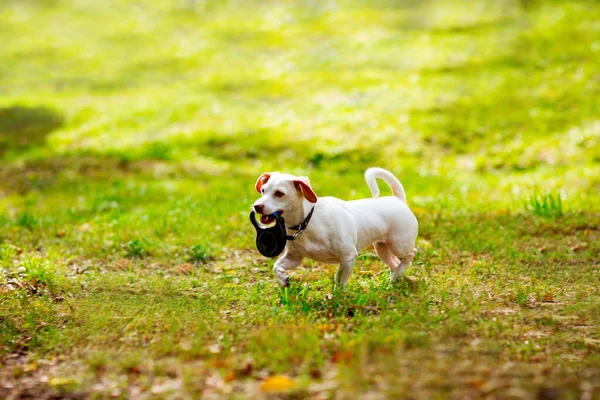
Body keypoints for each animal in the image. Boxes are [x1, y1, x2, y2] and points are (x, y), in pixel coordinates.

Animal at [252, 167, 418, 286]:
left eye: (279, 193)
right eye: (263, 190)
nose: (257, 206)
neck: (307, 222)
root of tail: (398, 199)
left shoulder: (348, 257)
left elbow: (340, 281)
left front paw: (337, 298)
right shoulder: (294, 257)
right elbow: (276, 266)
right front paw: (283, 279)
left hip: (399, 245)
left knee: (411, 253)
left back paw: (398, 273)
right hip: (382, 249)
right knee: (395, 263)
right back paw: (397, 277)